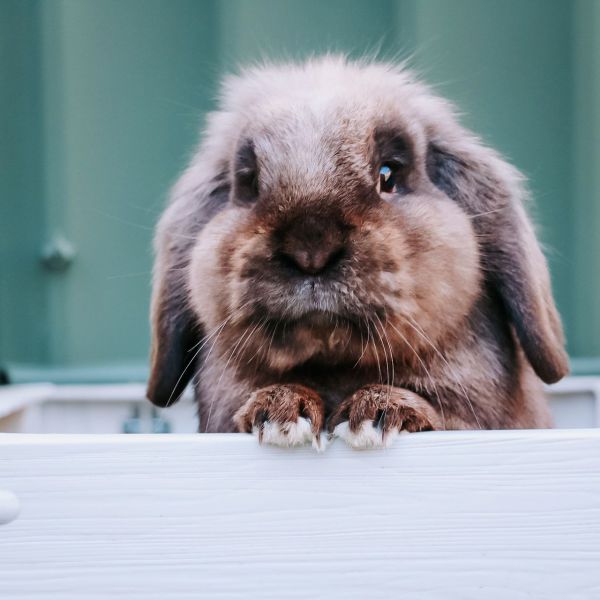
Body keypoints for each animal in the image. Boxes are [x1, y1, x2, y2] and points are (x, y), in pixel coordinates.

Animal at [145, 57, 568, 450]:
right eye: (248, 185)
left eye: (388, 175)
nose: (311, 249)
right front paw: (281, 411)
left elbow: (444, 416)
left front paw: (377, 413)